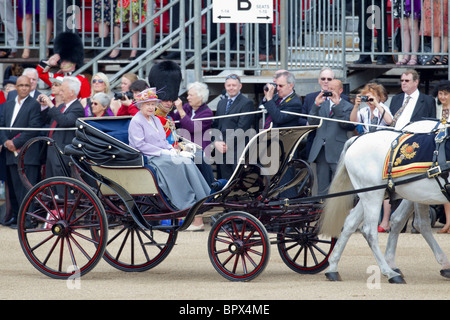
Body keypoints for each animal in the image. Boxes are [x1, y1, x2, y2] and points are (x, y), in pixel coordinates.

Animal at [322, 120, 450, 282]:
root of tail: (357, 139)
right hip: (374, 194)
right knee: (370, 231)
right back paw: (390, 272)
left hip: (377, 194)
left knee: (351, 222)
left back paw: (333, 267)